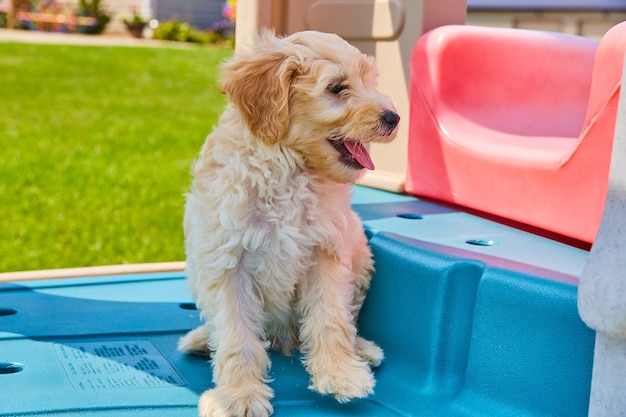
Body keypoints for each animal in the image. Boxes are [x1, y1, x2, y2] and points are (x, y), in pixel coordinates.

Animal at [178, 30, 398, 416]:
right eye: (337, 88)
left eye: (370, 82)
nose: (394, 117)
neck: (290, 168)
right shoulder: (227, 262)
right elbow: (236, 336)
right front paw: (240, 396)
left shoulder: (327, 252)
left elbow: (332, 318)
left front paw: (341, 374)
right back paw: (202, 339)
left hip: (360, 254)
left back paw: (362, 349)